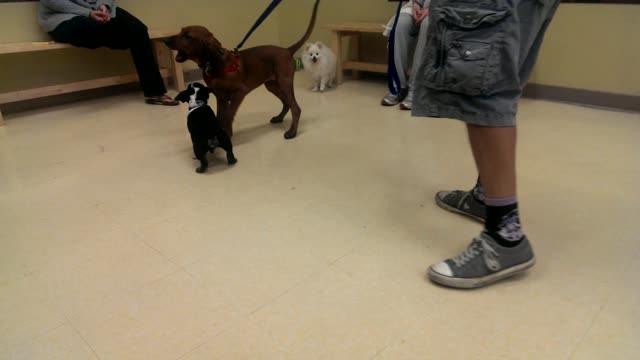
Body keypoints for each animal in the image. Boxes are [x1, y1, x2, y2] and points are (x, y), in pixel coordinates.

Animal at [165, 0, 320, 139]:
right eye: (181, 31)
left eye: (188, 36)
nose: (165, 40)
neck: (214, 63)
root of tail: (287, 50)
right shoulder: (221, 97)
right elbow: (220, 117)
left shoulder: (240, 92)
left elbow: (228, 116)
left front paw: (226, 135)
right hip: (272, 85)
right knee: (287, 103)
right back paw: (279, 118)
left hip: (284, 82)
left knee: (296, 108)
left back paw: (292, 132)